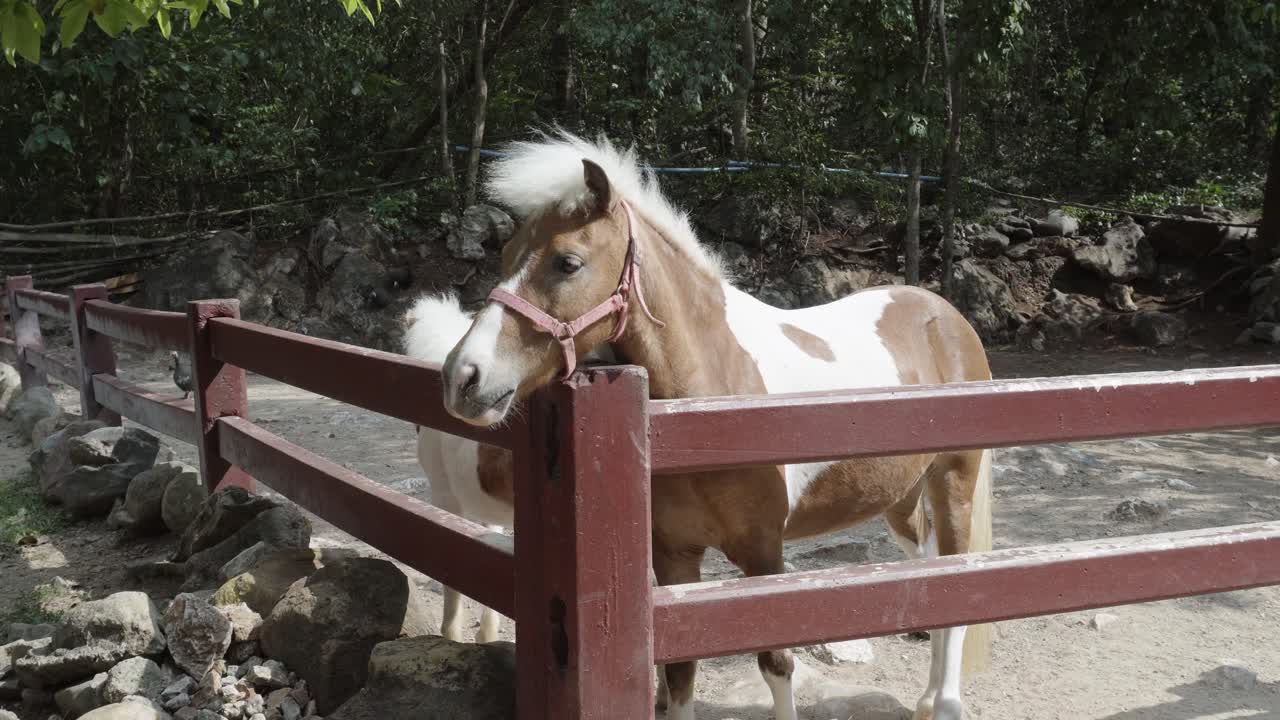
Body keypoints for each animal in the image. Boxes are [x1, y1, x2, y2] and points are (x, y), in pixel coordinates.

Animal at [437, 131, 994, 720]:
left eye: (568, 262)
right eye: (506, 255)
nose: (462, 377)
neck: (707, 410)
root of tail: (945, 317)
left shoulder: (764, 553)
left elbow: (777, 662)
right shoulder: (675, 557)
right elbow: (680, 674)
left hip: (953, 482)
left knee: (959, 581)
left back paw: (947, 702)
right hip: (902, 500)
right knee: (931, 574)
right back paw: (927, 697)